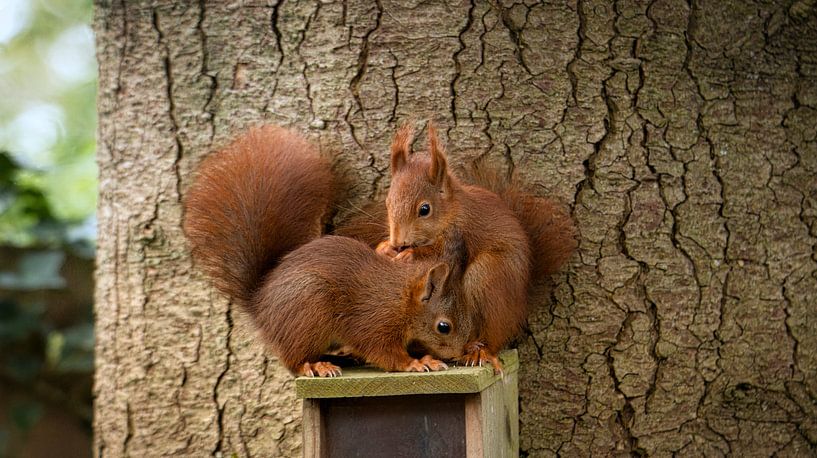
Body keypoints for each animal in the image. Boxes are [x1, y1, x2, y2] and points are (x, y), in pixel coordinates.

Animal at [182, 125, 472, 377]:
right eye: (444, 327)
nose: (460, 354)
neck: (400, 295)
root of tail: (259, 303)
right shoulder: (373, 322)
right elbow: (384, 353)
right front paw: (417, 362)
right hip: (308, 313)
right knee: (293, 360)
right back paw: (315, 365)